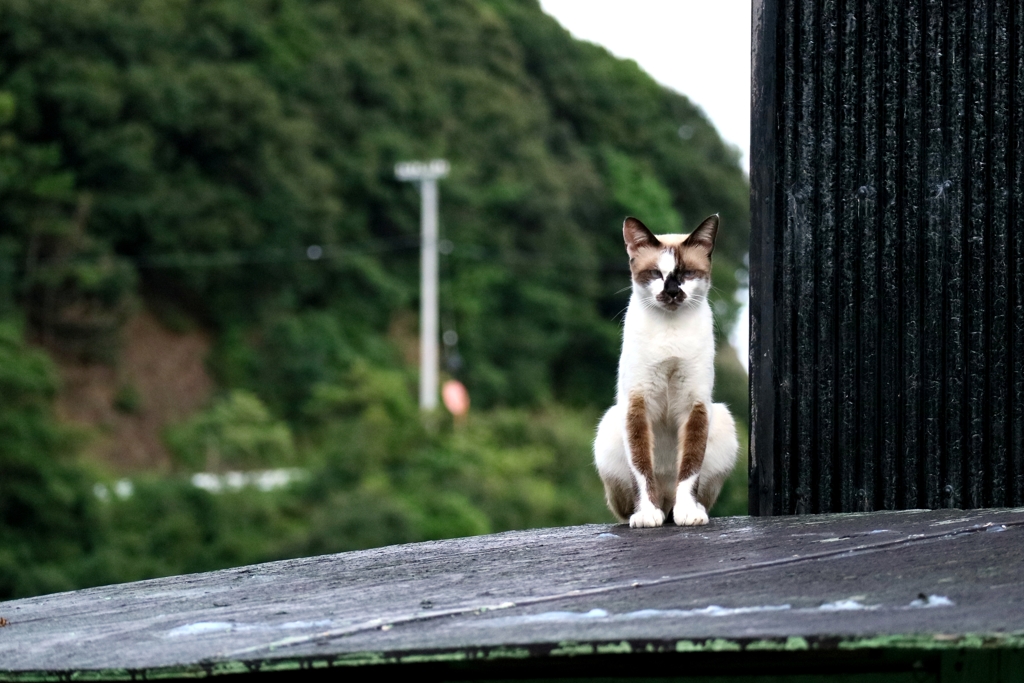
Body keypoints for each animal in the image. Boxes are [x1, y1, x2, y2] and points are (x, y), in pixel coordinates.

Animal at [593, 216, 737, 528]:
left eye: (687, 273)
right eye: (656, 274)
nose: (671, 292)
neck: (670, 331)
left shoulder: (696, 406)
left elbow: (690, 467)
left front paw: (689, 514)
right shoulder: (637, 405)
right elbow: (641, 466)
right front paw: (647, 515)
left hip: (722, 417)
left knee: (683, 496)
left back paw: (683, 510)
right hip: (610, 422)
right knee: (633, 505)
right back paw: (650, 512)